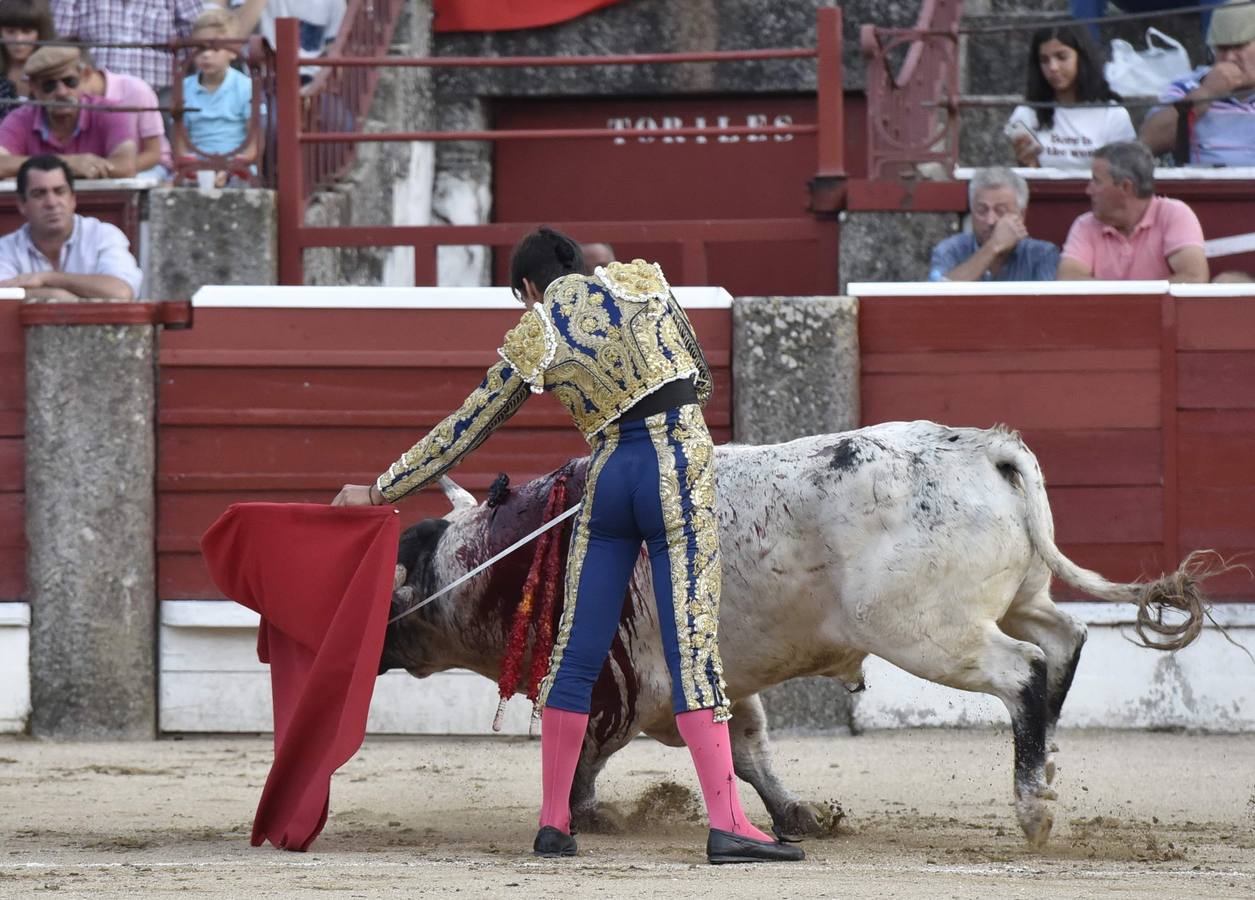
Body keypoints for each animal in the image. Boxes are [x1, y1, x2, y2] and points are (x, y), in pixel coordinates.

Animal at [381, 419, 1204, 843]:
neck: (514, 556)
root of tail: (985, 449)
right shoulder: (716, 680)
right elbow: (747, 751)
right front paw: (797, 815)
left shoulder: (626, 679)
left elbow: (586, 742)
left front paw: (585, 815)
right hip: (1016, 599)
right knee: (1064, 642)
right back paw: (1047, 772)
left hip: (928, 632)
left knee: (1023, 670)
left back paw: (1032, 806)